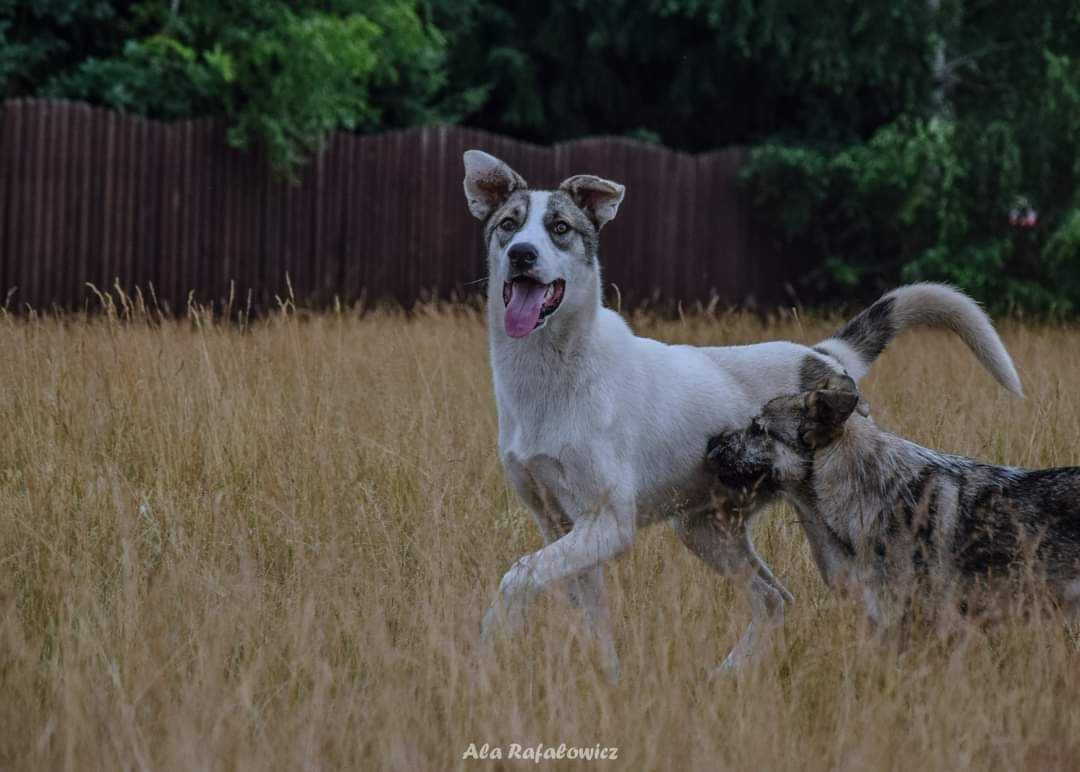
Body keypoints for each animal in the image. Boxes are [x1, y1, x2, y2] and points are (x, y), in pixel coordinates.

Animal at [464, 149, 1019, 678]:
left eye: (560, 228)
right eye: (509, 224)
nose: (521, 254)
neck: (550, 377)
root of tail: (823, 357)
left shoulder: (607, 523)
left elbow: (518, 576)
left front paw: (489, 645)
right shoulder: (560, 526)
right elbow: (588, 615)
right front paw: (606, 680)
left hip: (837, 552)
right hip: (705, 530)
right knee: (775, 600)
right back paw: (725, 678)